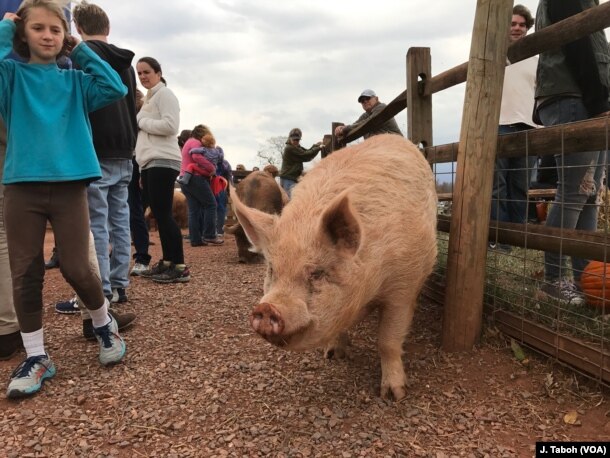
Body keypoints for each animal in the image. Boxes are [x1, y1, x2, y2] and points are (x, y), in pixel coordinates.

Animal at [230, 134, 434, 398]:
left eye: (317, 273)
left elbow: (388, 341)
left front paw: (393, 395)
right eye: (272, 270)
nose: (266, 308)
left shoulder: (404, 287)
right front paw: (332, 356)